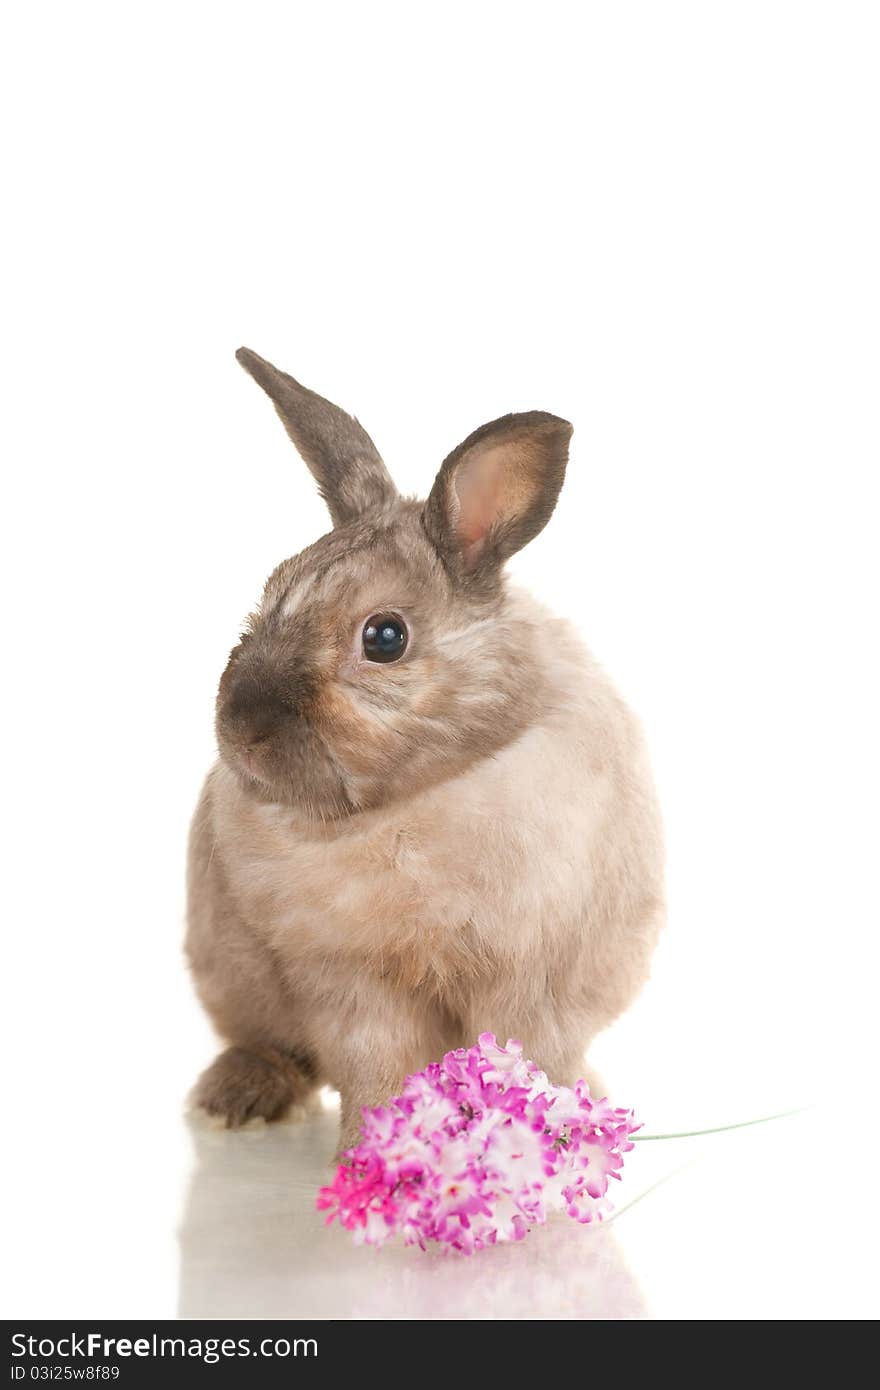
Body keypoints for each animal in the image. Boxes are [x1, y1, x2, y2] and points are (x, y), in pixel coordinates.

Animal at [187, 347, 664, 1150]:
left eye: (385, 637)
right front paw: (373, 1153)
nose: (242, 730)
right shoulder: (352, 987)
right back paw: (236, 1098)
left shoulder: (533, 985)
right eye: (270, 593)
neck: (414, 800)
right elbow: (376, 1071)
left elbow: (523, 1059)